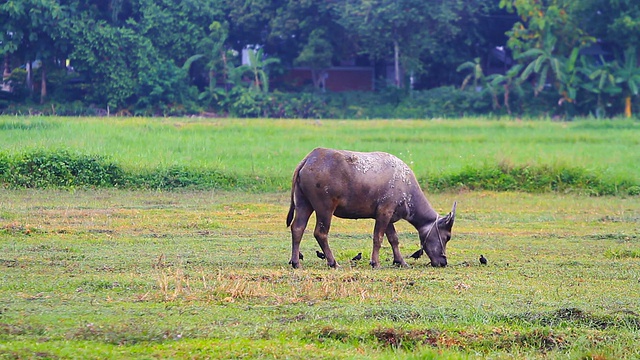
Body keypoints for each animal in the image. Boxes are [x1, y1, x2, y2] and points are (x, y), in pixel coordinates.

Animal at [284, 148, 456, 268]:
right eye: (447, 236)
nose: (443, 262)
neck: (406, 188)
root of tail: (308, 159)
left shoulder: (389, 216)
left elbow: (394, 239)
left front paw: (400, 261)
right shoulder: (384, 212)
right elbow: (378, 238)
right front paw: (375, 262)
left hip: (303, 203)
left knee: (297, 228)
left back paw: (295, 262)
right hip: (324, 208)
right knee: (320, 233)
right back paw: (333, 263)